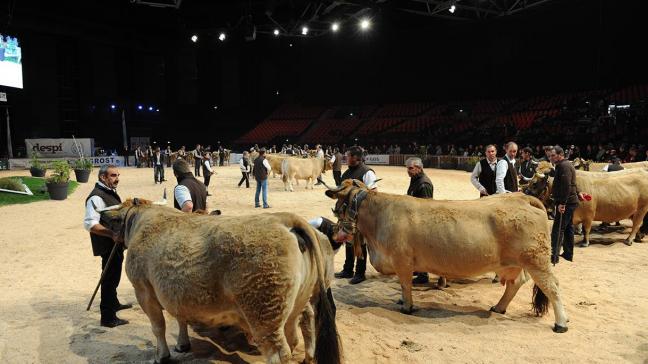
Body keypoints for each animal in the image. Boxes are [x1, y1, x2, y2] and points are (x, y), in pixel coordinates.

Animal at [324, 179, 568, 332]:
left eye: (338, 205)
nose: (336, 230)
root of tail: (522, 198)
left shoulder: (402, 261)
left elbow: (405, 284)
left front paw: (407, 306)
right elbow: (404, 285)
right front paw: (403, 300)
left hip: (537, 260)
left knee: (552, 288)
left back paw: (561, 324)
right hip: (514, 263)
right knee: (516, 283)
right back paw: (499, 307)